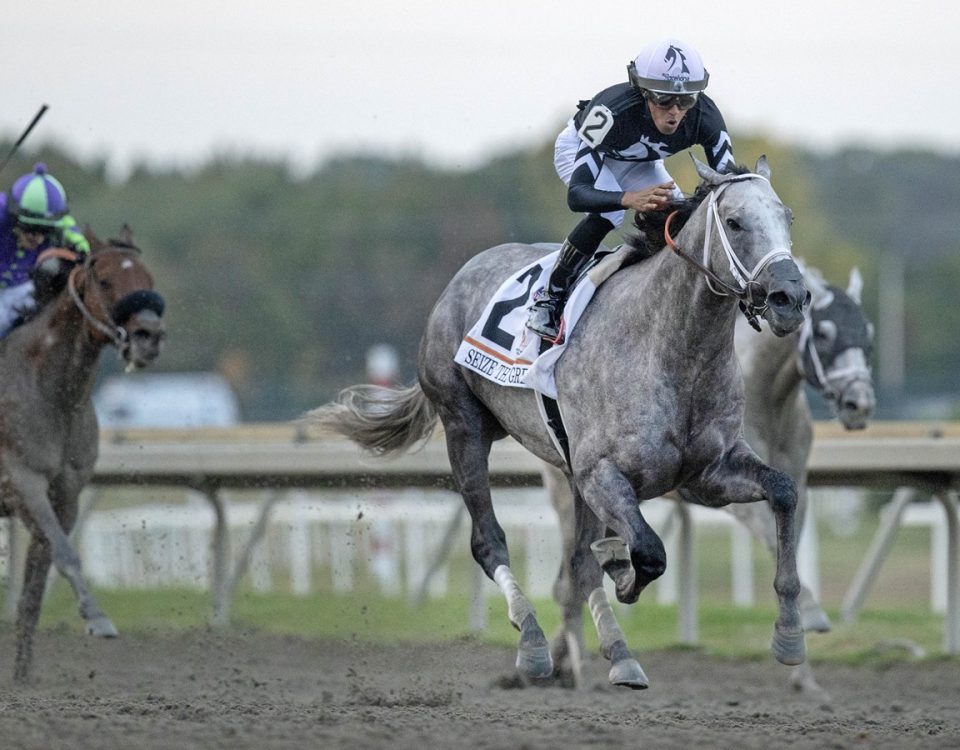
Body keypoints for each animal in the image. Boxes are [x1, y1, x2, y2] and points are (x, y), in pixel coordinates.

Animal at [0, 228, 165, 680]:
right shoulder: (23, 480)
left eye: (148, 278)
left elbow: (37, 579)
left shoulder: (67, 492)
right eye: (105, 280)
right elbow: (65, 553)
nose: (148, 337)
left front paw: (22, 672)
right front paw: (97, 618)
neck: (52, 392)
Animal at [308, 160, 808, 692]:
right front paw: (621, 569)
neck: (673, 347)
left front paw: (790, 634)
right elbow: (647, 552)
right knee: (489, 541)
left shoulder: (704, 475)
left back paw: (618, 654)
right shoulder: (603, 472)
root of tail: (460, 278)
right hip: (464, 424)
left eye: (788, 218)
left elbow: (783, 491)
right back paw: (532, 642)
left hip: (567, 471)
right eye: (734, 223)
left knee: (578, 567)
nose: (791, 298)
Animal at [544, 260, 872, 692]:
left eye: (867, 332)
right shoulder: (721, 491)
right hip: (572, 492)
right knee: (567, 584)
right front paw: (813, 617)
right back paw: (580, 670)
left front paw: (804, 672)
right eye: (824, 334)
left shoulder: (794, 482)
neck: (769, 403)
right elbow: (770, 537)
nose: (859, 404)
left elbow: (787, 541)